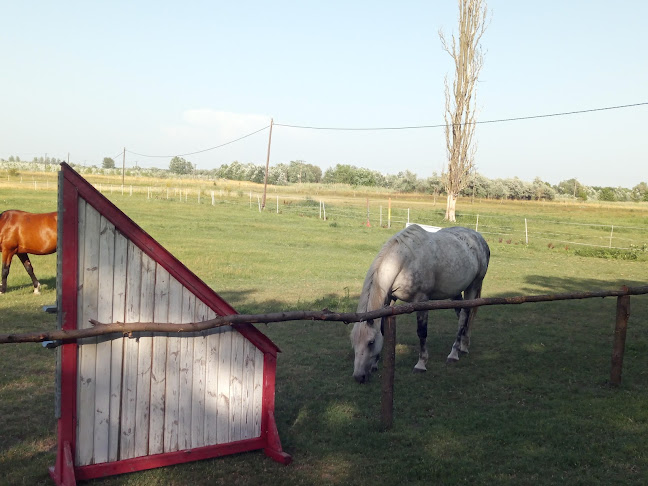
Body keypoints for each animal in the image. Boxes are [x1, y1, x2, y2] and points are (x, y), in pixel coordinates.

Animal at [352, 225, 488, 384]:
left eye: (371, 342)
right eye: (353, 342)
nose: (358, 376)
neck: (403, 261)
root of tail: (478, 237)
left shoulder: (421, 300)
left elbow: (422, 332)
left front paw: (421, 364)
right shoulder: (389, 299)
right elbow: (383, 329)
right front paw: (375, 364)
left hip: (472, 286)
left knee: (464, 316)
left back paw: (454, 354)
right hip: (455, 291)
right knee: (461, 315)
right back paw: (463, 346)